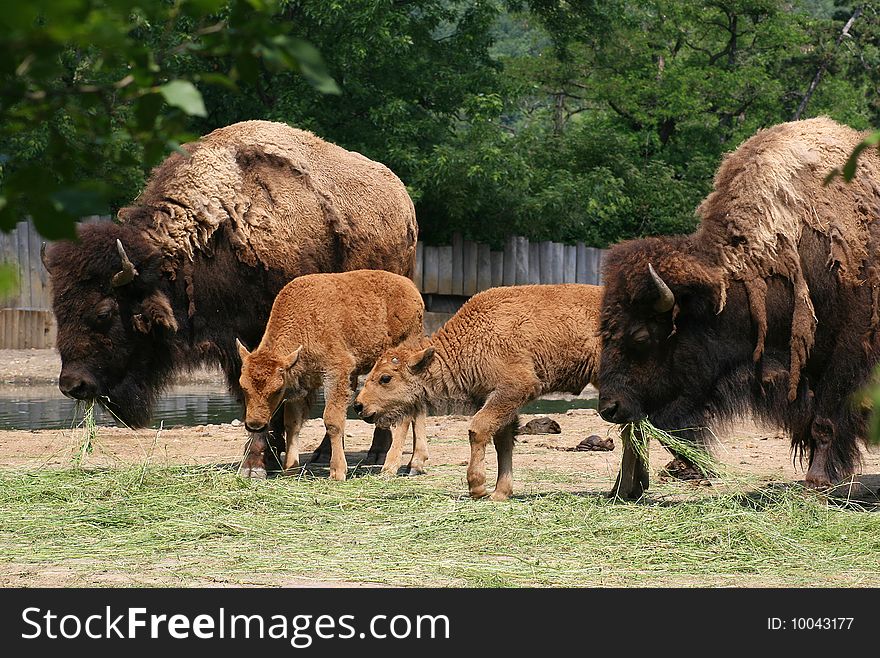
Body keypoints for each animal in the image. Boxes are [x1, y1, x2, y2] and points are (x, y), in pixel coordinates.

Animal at [234, 270, 426, 480]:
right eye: (243, 387)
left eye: (276, 390)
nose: (255, 425)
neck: (303, 319)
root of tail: (411, 288)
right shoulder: (301, 385)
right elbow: (293, 423)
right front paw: (290, 470)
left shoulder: (336, 372)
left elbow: (332, 421)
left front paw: (337, 471)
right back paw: (415, 465)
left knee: (407, 412)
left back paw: (391, 467)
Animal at [354, 282, 600, 498]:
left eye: (386, 378)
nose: (359, 405)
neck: (471, 337)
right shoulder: (499, 400)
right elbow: (503, 442)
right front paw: (500, 493)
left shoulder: (515, 389)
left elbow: (477, 429)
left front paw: (477, 488)